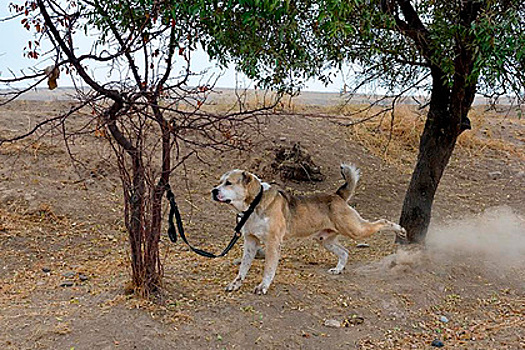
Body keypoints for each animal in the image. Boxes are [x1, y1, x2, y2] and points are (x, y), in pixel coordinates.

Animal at [211, 163, 408, 294]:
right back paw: (338, 270)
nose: (213, 191)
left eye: (229, 183)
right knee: (344, 252)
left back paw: (400, 230)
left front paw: (263, 287)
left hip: (356, 230)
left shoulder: (273, 243)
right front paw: (236, 284)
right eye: (219, 182)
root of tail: (337, 196)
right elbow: (243, 268)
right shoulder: (250, 242)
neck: (254, 204)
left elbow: (268, 268)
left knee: (382, 222)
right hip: (325, 240)